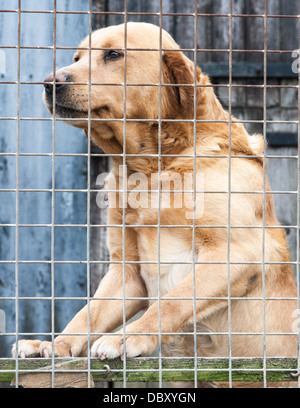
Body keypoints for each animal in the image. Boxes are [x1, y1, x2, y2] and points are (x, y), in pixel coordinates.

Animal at [12, 22, 296, 384]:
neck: (153, 168)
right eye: (76, 58)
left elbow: (172, 302)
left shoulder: (236, 252)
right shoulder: (127, 272)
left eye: (113, 54)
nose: (50, 82)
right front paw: (54, 346)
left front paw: (128, 337)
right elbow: (88, 314)